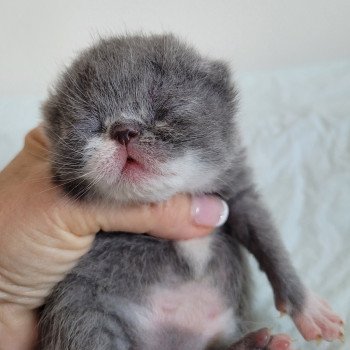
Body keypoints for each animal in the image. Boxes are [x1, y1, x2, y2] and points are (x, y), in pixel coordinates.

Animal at [37, 33, 342, 350]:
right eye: (92, 122)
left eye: (164, 111)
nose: (123, 130)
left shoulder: (239, 192)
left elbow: (270, 244)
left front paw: (308, 308)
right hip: (79, 311)